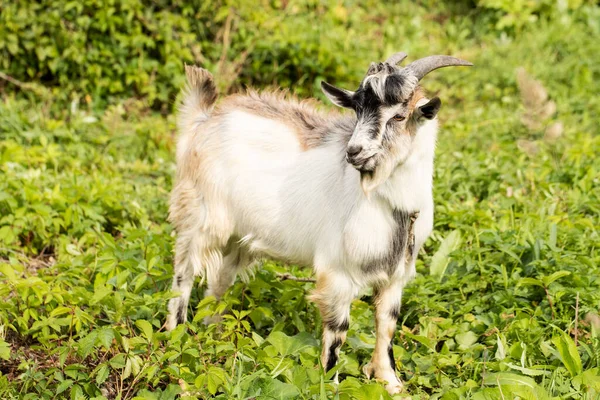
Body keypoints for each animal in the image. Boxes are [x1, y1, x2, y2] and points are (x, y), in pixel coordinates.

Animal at [165, 52, 474, 394]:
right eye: (357, 110)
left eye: (398, 116)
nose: (354, 152)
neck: (388, 202)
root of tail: (203, 118)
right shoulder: (337, 273)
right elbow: (338, 331)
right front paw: (332, 385)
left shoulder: (395, 276)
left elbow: (386, 325)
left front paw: (391, 383)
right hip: (200, 215)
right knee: (183, 274)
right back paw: (175, 339)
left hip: (237, 237)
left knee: (218, 283)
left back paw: (215, 335)